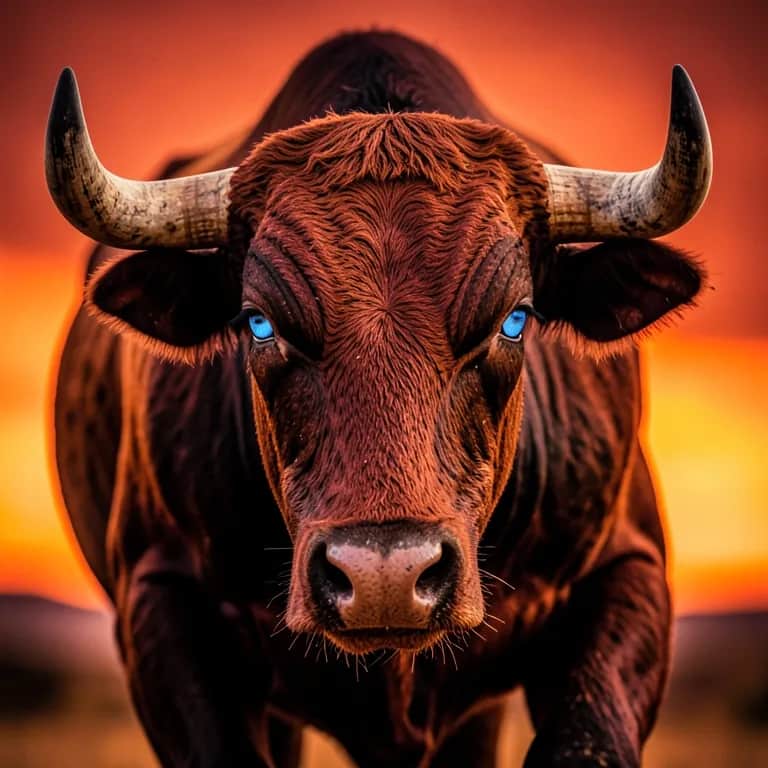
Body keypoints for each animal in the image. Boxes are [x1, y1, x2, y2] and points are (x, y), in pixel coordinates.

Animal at [46, 31, 711, 768]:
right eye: (258, 322)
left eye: (514, 318)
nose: (384, 576)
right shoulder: (158, 596)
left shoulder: (627, 567)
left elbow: (586, 743)